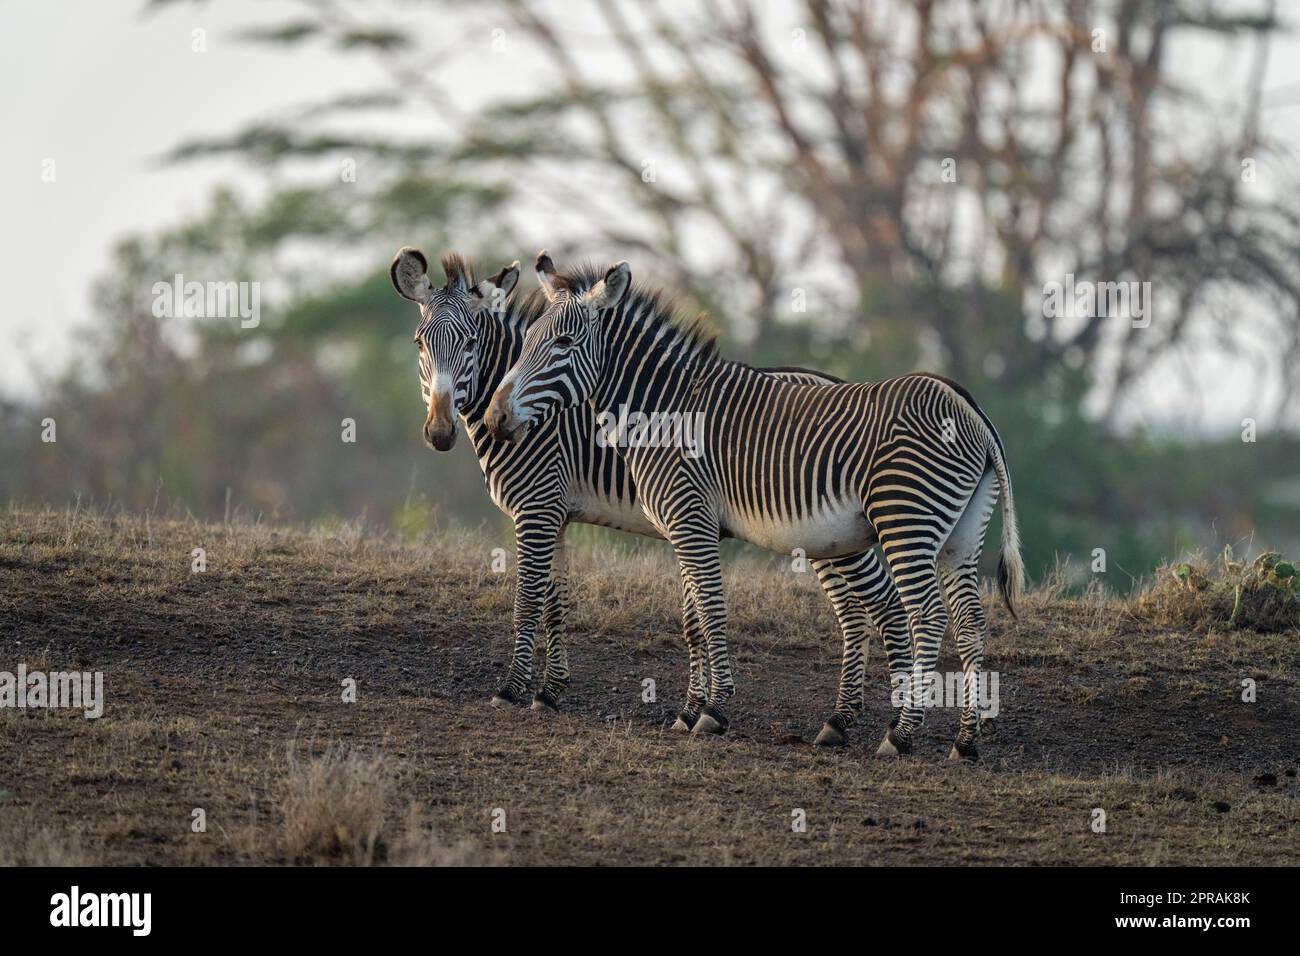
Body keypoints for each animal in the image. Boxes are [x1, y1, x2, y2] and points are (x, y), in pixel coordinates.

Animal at [390, 247, 920, 738]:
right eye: (419, 343)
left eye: (470, 343)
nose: (439, 432)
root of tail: (833, 380)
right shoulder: (558, 515)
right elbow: (556, 604)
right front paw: (550, 691)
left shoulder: (537, 509)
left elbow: (527, 599)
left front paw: (512, 689)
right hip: (824, 536)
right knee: (856, 613)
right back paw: (843, 719)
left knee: (881, 608)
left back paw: (871, 719)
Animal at [483, 254, 1019, 764]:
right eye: (527, 341)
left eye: (564, 343)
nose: (495, 418)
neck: (662, 410)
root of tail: (971, 408)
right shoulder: (683, 527)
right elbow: (695, 618)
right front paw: (691, 710)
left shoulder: (690, 519)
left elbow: (712, 610)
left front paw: (714, 711)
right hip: (960, 534)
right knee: (969, 620)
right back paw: (965, 741)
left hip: (905, 522)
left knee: (927, 615)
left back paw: (902, 735)